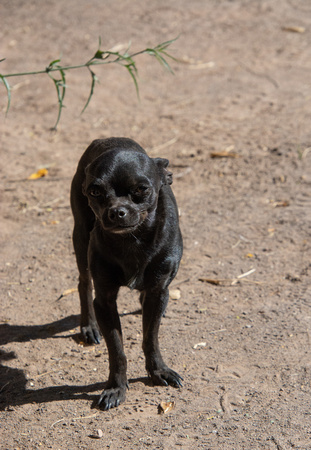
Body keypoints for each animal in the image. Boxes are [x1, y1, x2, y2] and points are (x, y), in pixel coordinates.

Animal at [70, 139, 183, 410]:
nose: (116, 211)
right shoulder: (105, 301)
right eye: (95, 192)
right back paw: (88, 326)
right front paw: (115, 388)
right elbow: (117, 351)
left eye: (142, 189)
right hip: (80, 238)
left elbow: (150, 338)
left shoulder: (158, 291)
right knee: (83, 282)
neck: (133, 242)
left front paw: (158, 371)